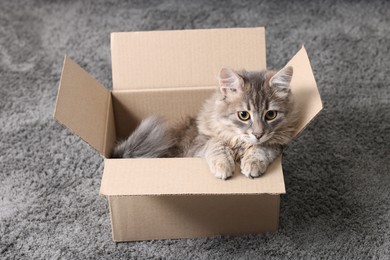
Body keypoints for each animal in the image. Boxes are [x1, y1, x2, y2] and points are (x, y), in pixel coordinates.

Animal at [111, 66, 300, 180]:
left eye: (271, 115)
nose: (258, 134)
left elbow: (262, 148)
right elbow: (217, 145)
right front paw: (223, 167)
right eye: (243, 115)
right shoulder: (199, 143)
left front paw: (252, 164)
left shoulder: (278, 143)